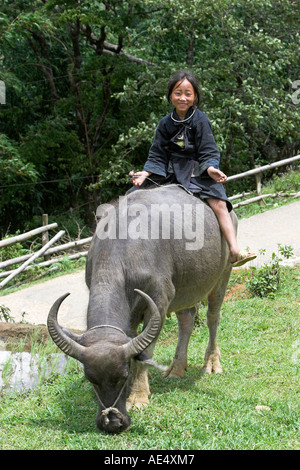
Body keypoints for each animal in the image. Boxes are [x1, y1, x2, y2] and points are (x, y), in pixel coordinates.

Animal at [47, 184, 236, 434]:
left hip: (222, 274)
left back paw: (212, 363)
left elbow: (145, 352)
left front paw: (138, 397)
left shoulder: (159, 300)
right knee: (186, 320)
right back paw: (176, 369)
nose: (112, 422)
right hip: (184, 290)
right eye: (91, 379)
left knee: (212, 316)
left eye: (122, 376)